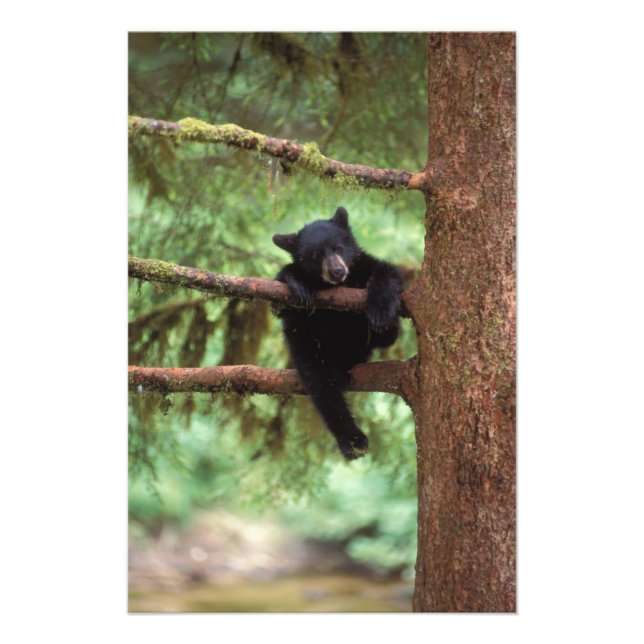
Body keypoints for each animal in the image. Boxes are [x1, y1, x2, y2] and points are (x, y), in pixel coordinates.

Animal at [272, 206, 403, 460]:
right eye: (315, 255)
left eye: (338, 248)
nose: (337, 271)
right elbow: (280, 301)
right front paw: (297, 282)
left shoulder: (364, 266)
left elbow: (387, 271)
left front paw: (380, 312)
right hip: (309, 351)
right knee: (324, 389)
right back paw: (352, 439)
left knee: (388, 337)